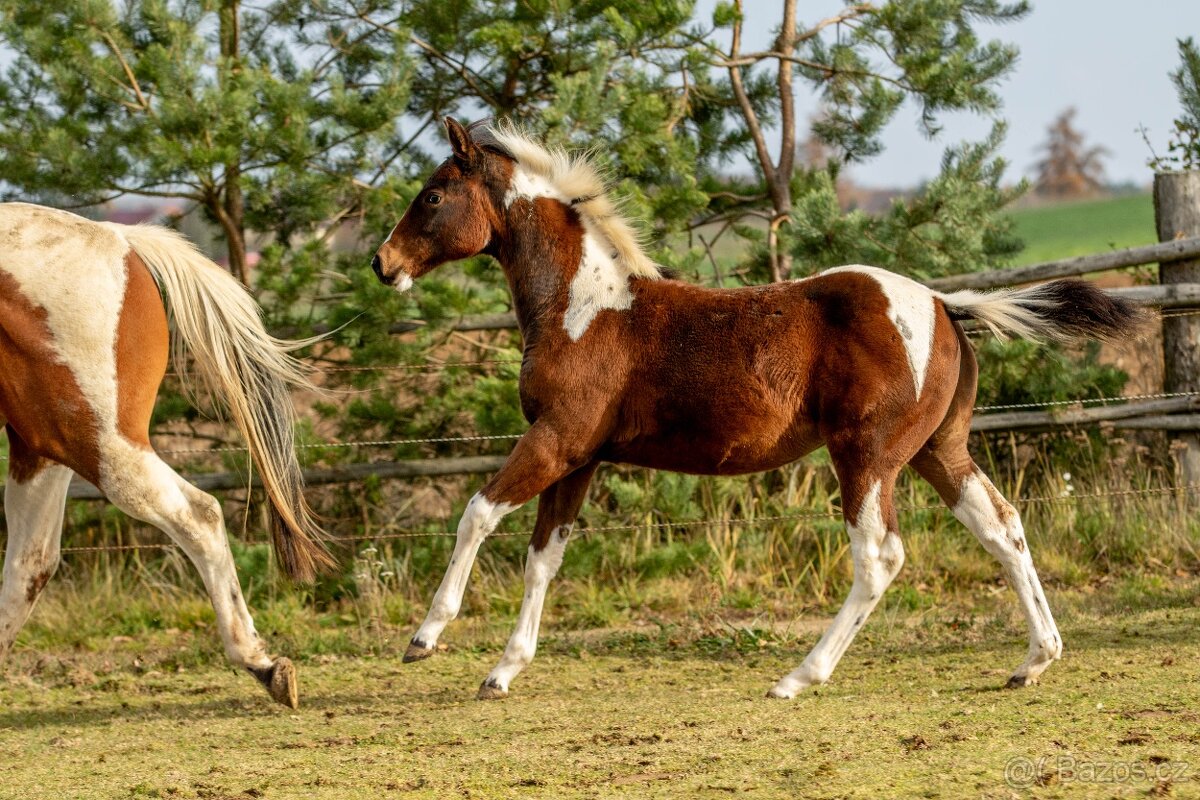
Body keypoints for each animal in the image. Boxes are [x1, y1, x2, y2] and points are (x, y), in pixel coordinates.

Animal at [0, 203, 333, 707]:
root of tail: (122, 240)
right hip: (46, 443)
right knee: (31, 561)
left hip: (99, 443)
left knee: (199, 515)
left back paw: (261, 662)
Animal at [371, 118, 1148, 700]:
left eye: (433, 195)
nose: (383, 264)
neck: (583, 307)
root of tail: (942, 304)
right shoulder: (580, 457)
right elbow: (543, 560)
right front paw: (503, 670)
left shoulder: (556, 439)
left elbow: (476, 513)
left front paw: (424, 638)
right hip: (938, 451)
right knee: (1003, 527)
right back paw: (1034, 660)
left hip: (866, 457)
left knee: (880, 556)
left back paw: (798, 677)